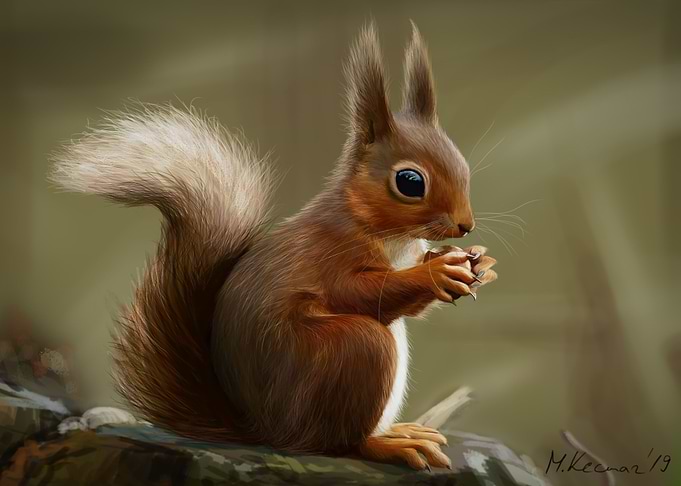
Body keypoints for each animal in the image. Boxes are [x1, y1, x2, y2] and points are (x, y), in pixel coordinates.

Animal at [50, 23, 498, 471]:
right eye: (409, 182)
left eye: (461, 164)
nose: (465, 226)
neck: (388, 233)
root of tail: (266, 433)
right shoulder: (330, 252)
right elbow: (360, 292)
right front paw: (437, 272)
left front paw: (477, 263)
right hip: (352, 351)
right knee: (336, 442)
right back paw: (388, 444)